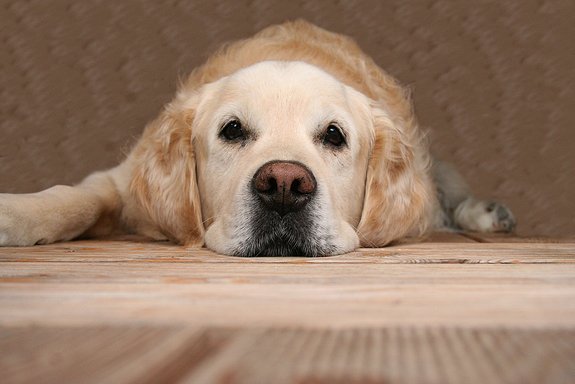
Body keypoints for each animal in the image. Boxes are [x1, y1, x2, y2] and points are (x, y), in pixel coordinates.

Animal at [0, 20, 516, 255]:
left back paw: (488, 213)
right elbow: (75, 197)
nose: (284, 185)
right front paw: (19, 212)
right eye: (232, 130)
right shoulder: (122, 179)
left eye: (334, 135)